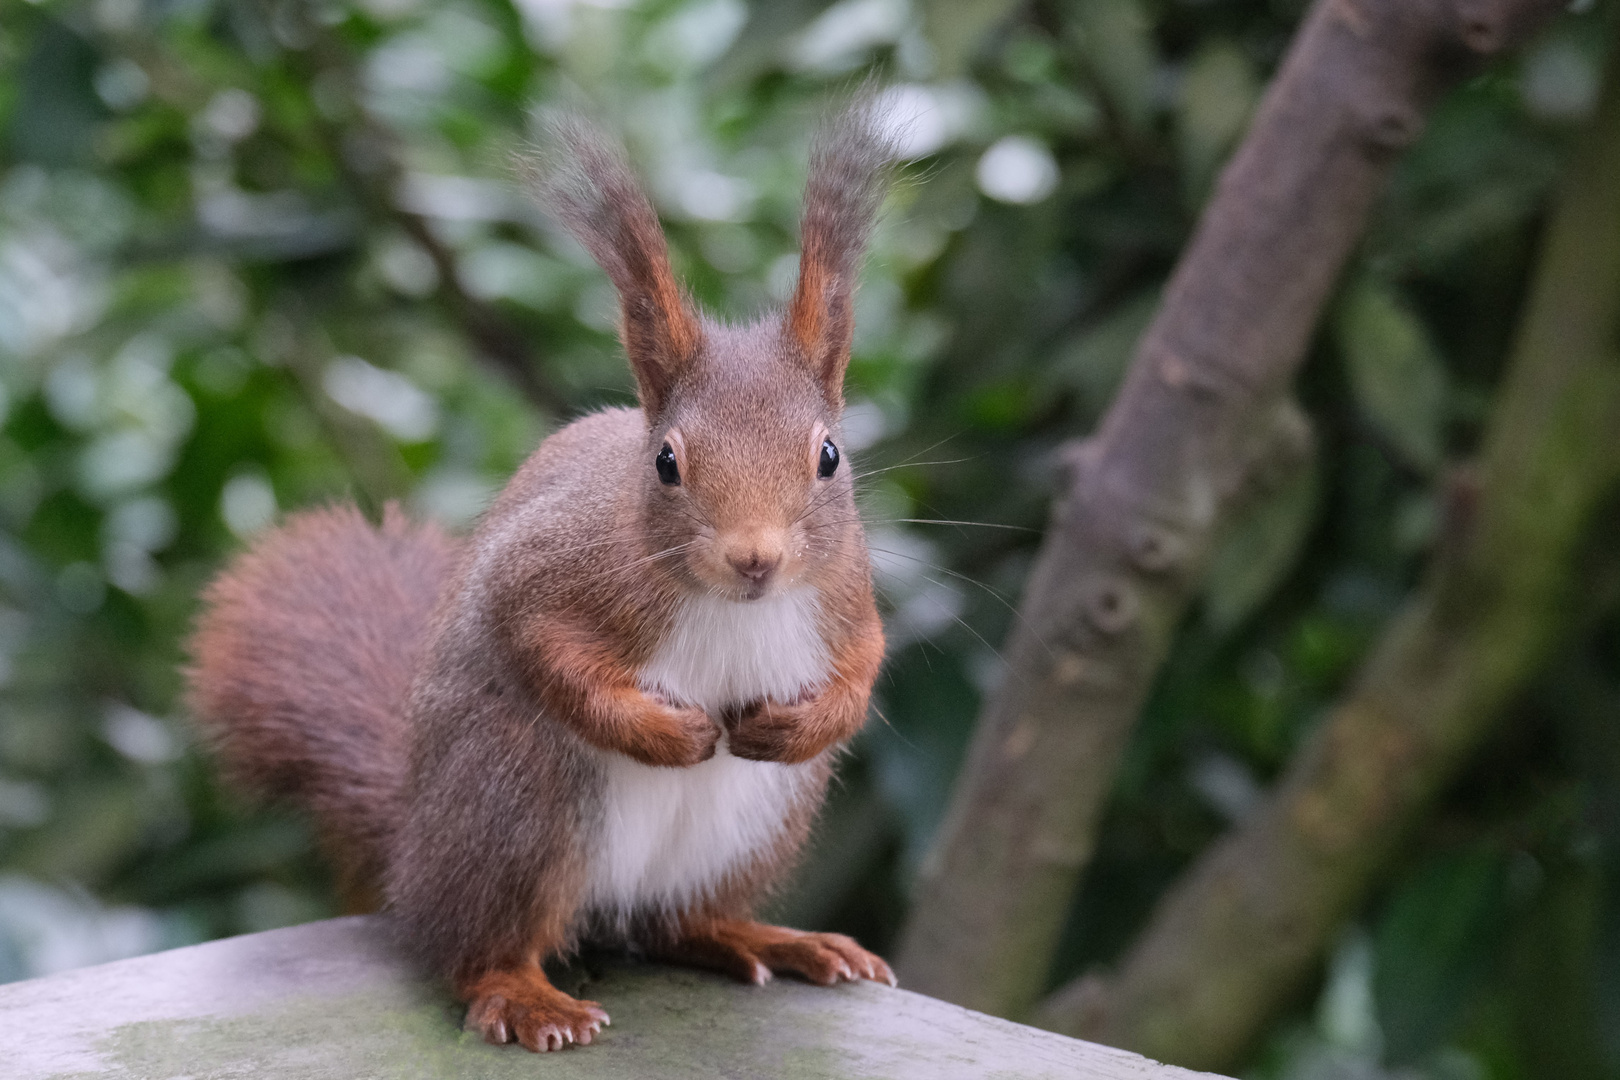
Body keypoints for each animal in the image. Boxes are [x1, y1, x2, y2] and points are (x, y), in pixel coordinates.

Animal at [192, 103, 900, 1055]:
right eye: (666, 462)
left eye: (830, 456)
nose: (756, 558)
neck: (730, 603)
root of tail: (415, 851)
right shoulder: (548, 573)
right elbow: (539, 647)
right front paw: (665, 733)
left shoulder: (842, 594)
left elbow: (864, 662)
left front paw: (808, 721)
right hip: (516, 801)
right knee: (475, 944)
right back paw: (523, 994)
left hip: (762, 823)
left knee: (676, 922)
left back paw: (766, 938)